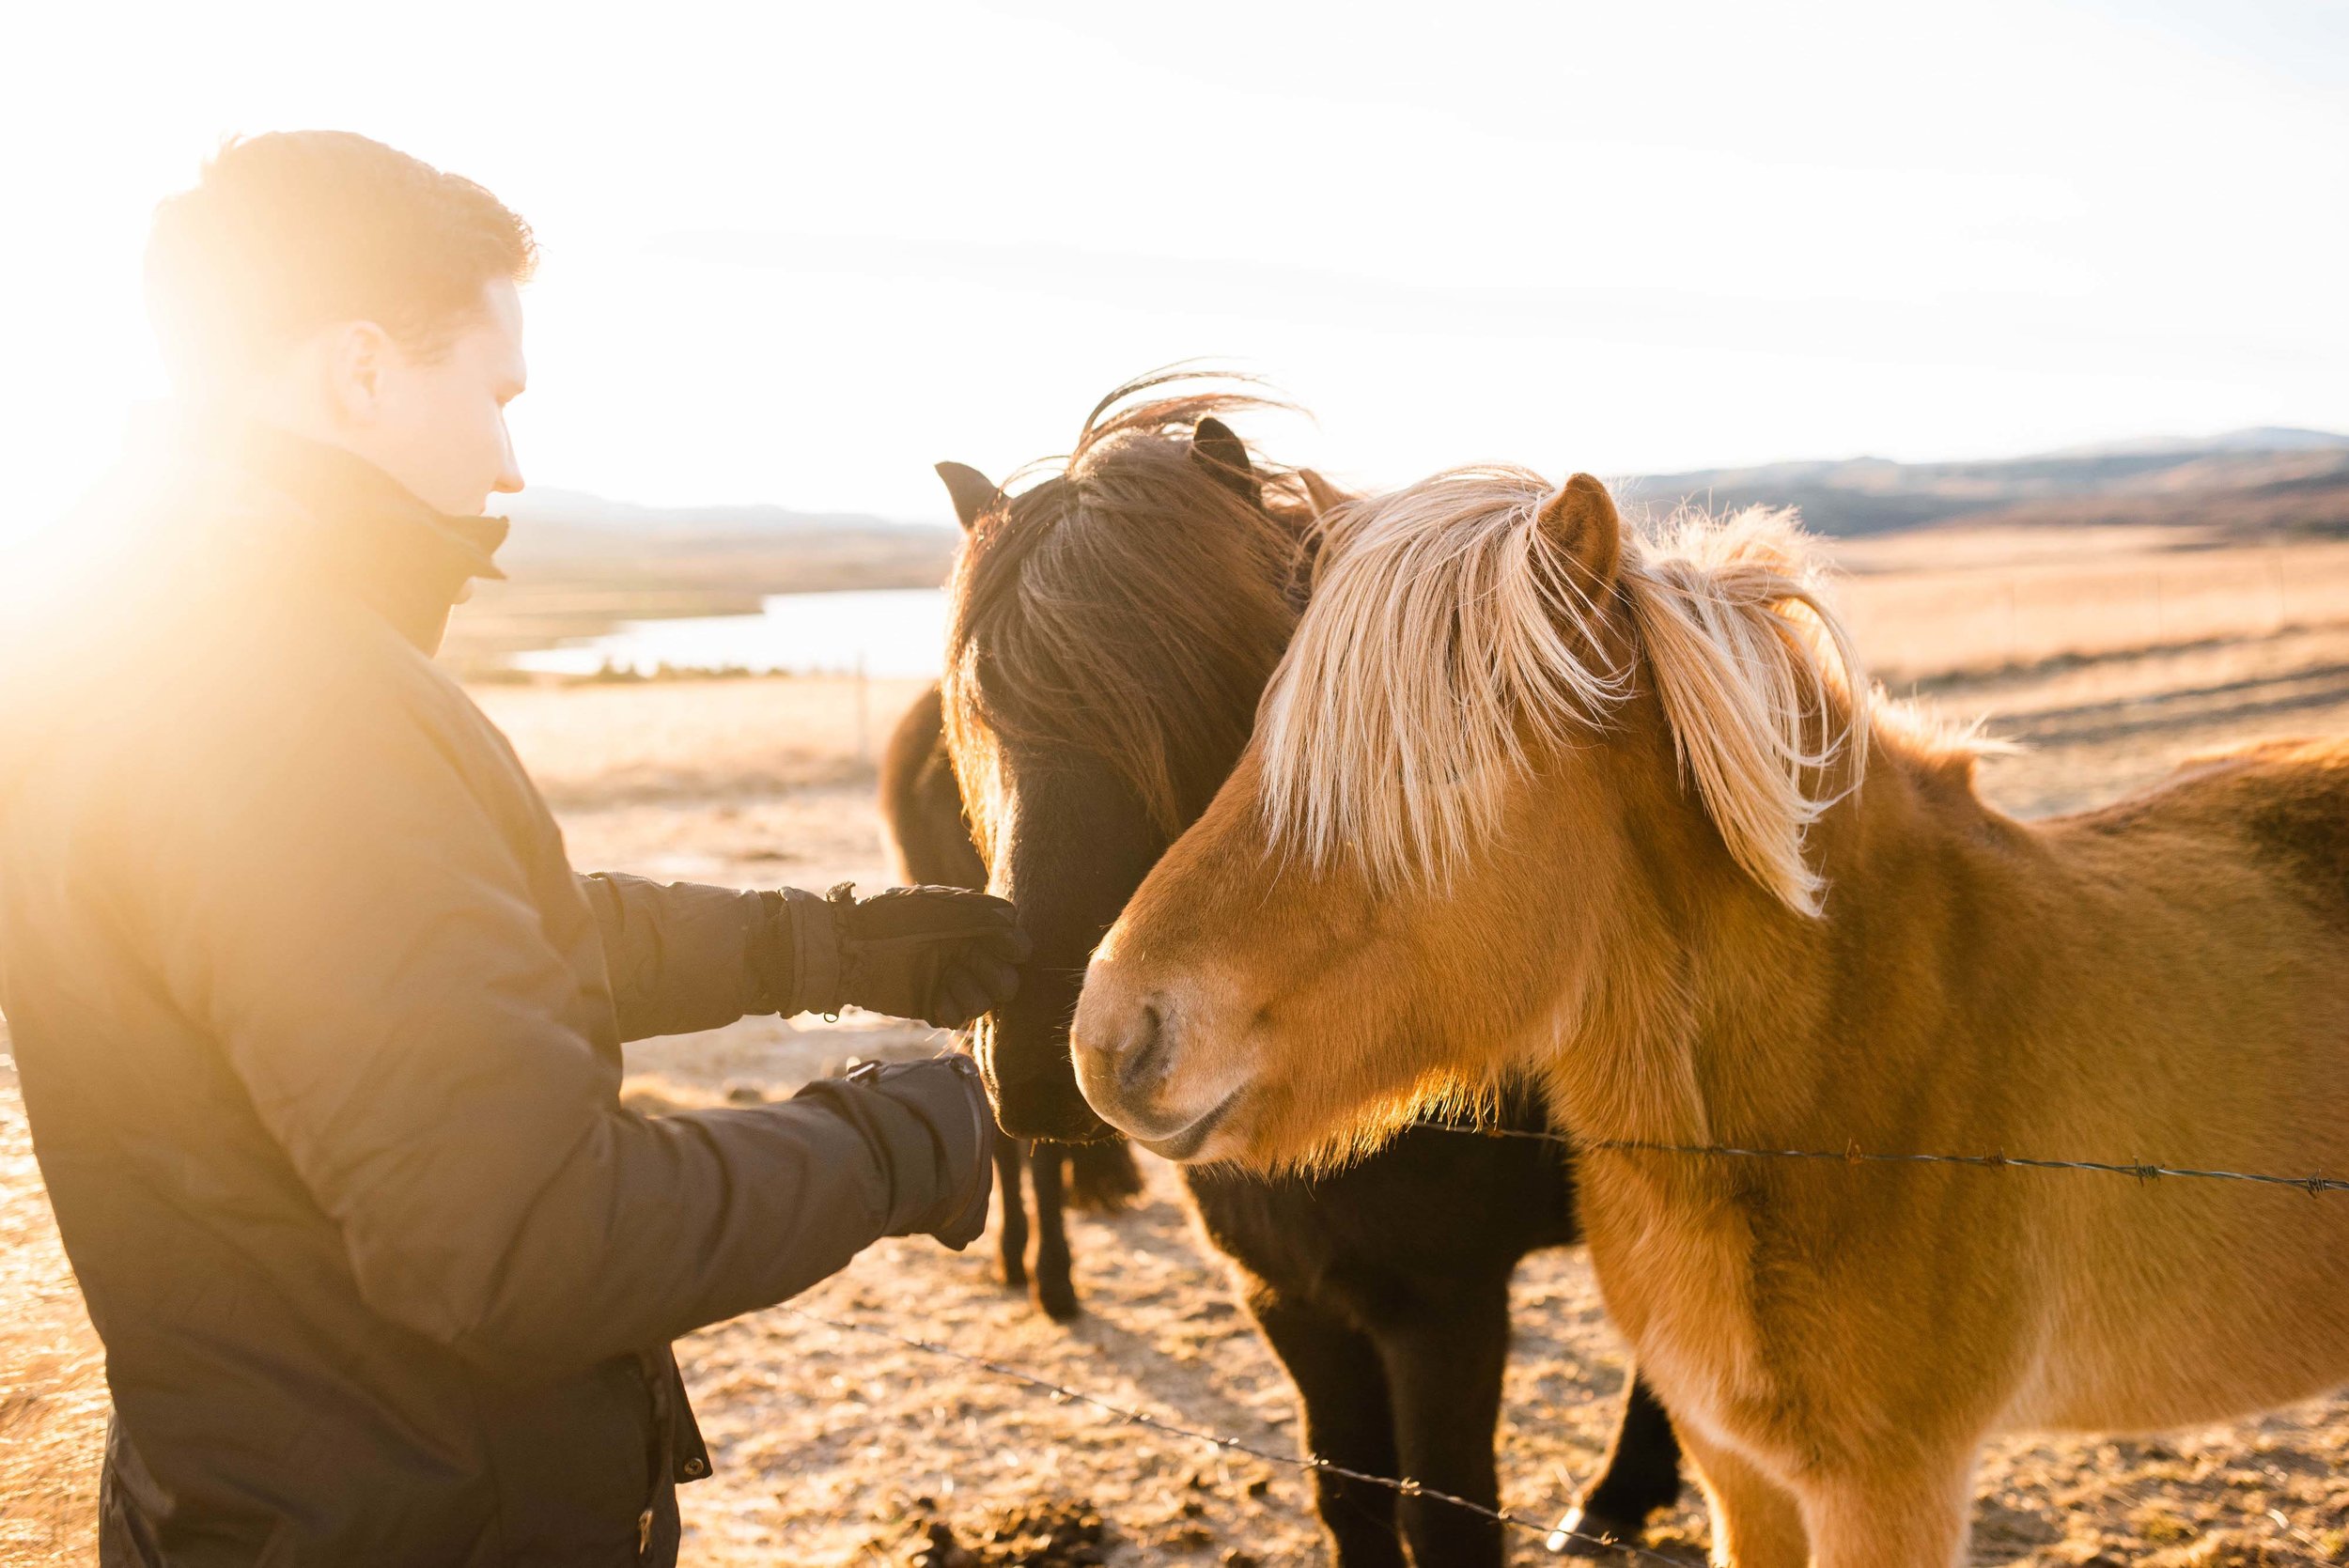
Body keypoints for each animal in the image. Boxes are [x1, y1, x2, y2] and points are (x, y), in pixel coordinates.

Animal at [921, 375, 1691, 1559]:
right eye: (982, 719)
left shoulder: (1443, 1309)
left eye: (1191, 696)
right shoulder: (1287, 1298)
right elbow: (1349, 1494)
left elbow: (1446, 1517)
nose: (1049, 1063)